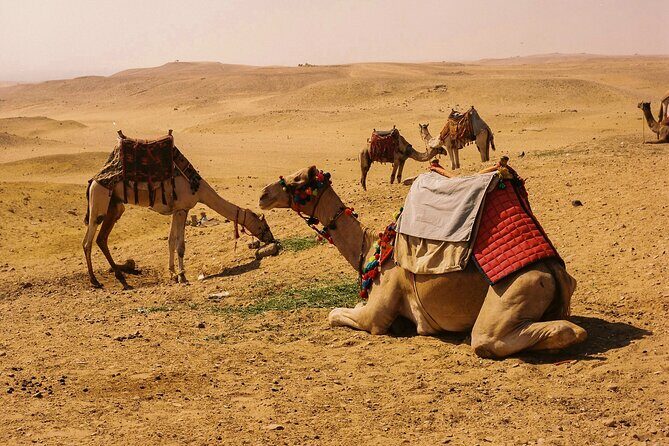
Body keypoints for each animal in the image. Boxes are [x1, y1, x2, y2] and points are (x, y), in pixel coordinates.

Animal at [83, 151, 275, 290]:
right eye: (264, 225)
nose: (271, 238)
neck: (199, 189)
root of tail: (93, 180)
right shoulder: (182, 209)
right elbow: (180, 245)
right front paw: (182, 276)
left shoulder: (177, 210)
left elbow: (170, 241)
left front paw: (173, 274)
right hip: (100, 200)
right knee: (88, 241)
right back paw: (94, 281)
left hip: (114, 205)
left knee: (102, 238)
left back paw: (120, 276)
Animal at [259, 166, 587, 358]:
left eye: (297, 181)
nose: (263, 194)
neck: (371, 250)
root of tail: (552, 271)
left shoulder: (376, 314)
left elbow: (335, 313)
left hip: (515, 291)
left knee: (502, 338)